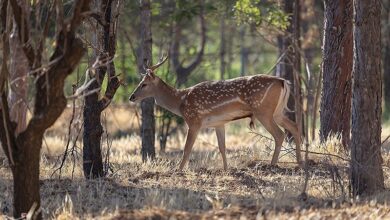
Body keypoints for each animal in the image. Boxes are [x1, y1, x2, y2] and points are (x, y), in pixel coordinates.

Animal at [129, 55, 304, 172]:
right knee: (294, 126)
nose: (132, 97)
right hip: (277, 112)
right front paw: (226, 169)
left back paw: (272, 164)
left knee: (280, 134)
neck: (180, 101)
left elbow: (187, 149)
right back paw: (300, 162)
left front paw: (178, 171)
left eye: (144, 84)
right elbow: (222, 147)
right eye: (139, 82)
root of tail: (283, 82)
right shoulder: (219, 123)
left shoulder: (194, 121)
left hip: (263, 111)